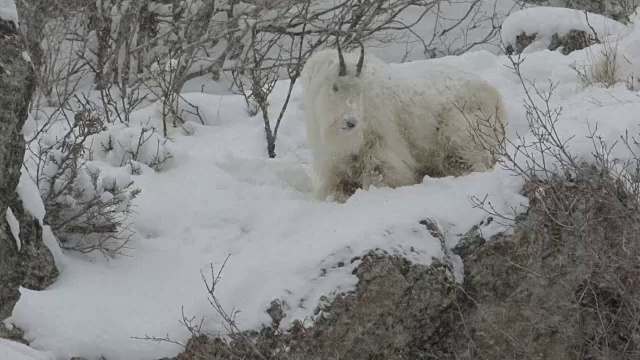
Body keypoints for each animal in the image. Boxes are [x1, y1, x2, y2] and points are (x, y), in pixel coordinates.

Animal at [302, 42, 508, 202]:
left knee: (475, 163)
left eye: (359, 90)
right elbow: (333, 188)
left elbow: (382, 176)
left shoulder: (384, 150)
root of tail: (496, 98)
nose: (351, 123)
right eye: (335, 87)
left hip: (462, 132)